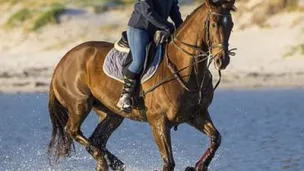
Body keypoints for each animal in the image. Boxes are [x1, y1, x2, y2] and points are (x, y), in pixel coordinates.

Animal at [47, 0, 236, 170]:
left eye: (231, 25)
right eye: (213, 24)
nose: (222, 60)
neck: (187, 70)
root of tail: (62, 61)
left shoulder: (196, 115)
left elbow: (216, 138)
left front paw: (199, 166)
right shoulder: (158, 120)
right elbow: (168, 162)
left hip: (111, 113)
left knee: (97, 139)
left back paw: (113, 163)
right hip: (79, 104)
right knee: (72, 130)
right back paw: (102, 160)